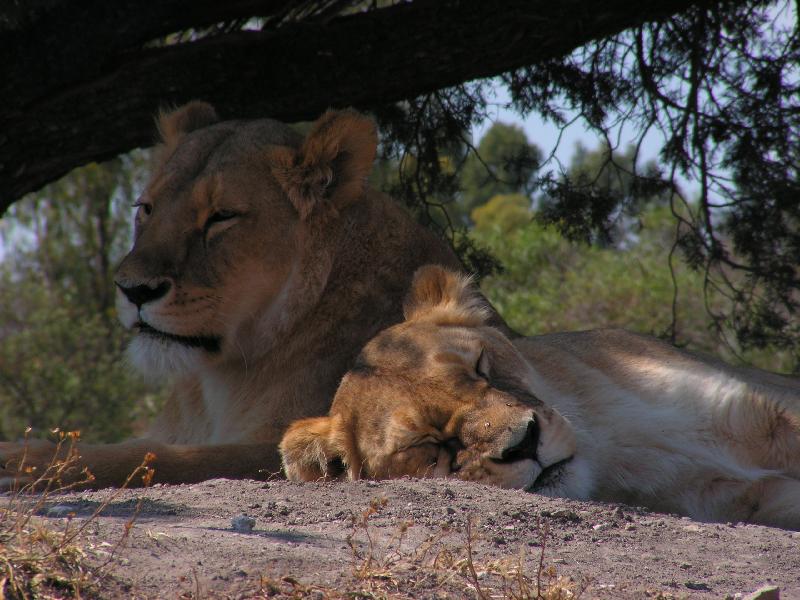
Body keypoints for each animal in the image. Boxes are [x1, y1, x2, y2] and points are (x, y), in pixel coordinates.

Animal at [1, 103, 520, 488]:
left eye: (221, 217)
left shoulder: (280, 445)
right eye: (145, 208)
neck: (218, 381)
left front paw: (22, 461)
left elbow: (164, 457)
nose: (133, 289)